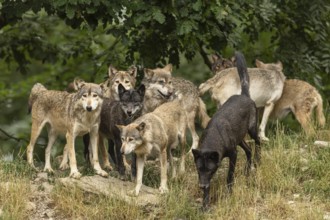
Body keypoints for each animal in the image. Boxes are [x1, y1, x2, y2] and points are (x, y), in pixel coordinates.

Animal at [193, 51, 260, 210]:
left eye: (210, 170)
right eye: (199, 169)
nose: (201, 186)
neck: (214, 138)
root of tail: (243, 95)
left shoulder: (233, 154)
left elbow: (230, 176)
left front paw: (229, 194)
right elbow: (208, 188)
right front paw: (205, 206)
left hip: (252, 130)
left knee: (258, 141)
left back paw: (258, 161)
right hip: (240, 139)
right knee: (248, 150)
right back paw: (247, 171)